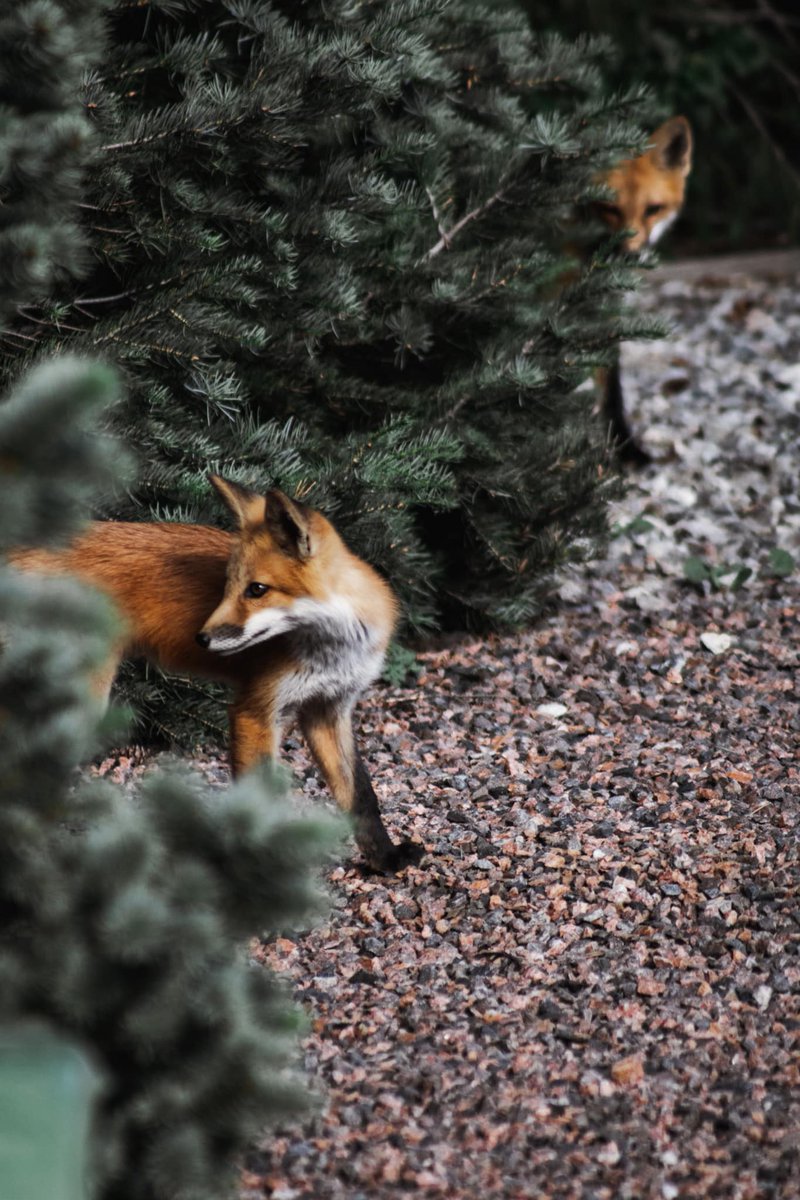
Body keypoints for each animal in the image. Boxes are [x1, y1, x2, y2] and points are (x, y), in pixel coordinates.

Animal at [10, 475, 424, 873]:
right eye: (228, 586)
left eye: (257, 589)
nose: (202, 638)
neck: (332, 648)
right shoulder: (254, 712)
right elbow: (261, 802)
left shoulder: (330, 708)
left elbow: (360, 796)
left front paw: (385, 860)